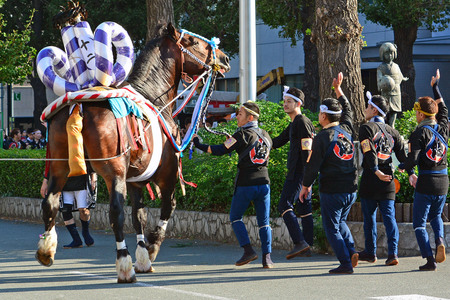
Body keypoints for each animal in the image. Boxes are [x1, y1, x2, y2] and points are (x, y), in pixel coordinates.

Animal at [34, 23, 230, 284]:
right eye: (194, 42)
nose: (225, 58)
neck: (154, 96)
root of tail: (78, 106)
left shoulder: (135, 179)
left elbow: (139, 215)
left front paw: (143, 255)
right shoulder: (166, 173)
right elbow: (167, 206)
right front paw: (152, 248)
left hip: (59, 166)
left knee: (50, 203)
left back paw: (46, 250)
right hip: (113, 171)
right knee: (116, 212)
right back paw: (124, 264)